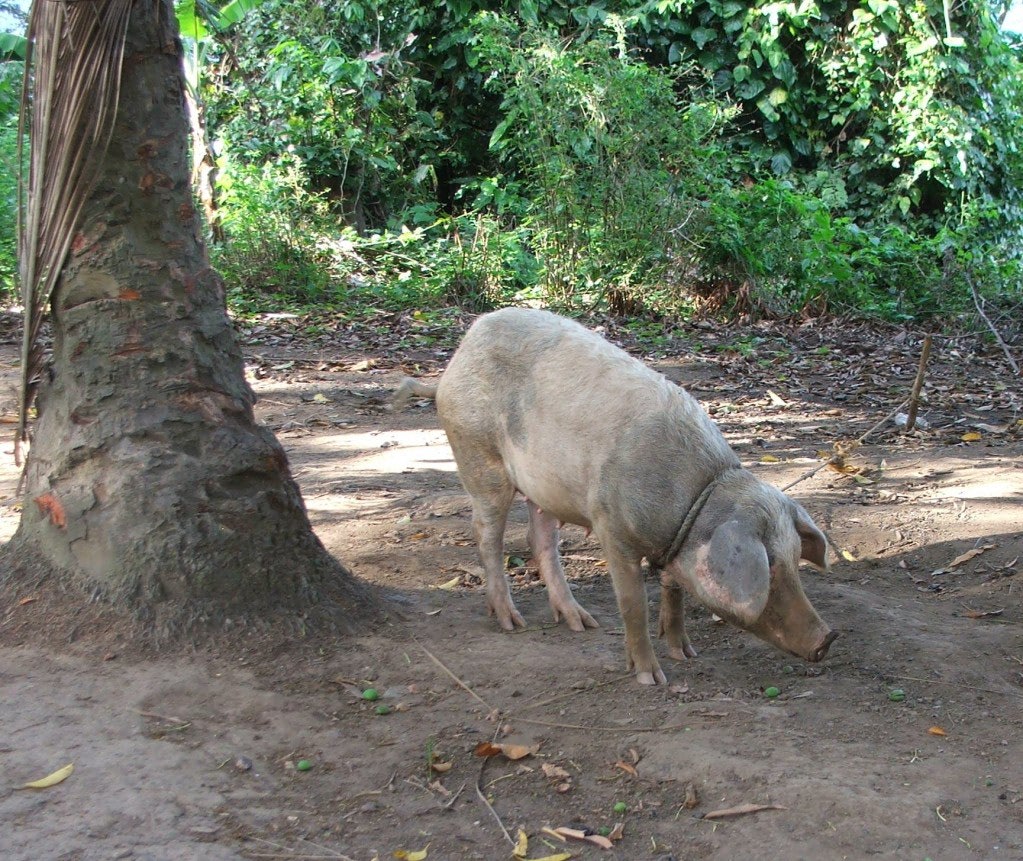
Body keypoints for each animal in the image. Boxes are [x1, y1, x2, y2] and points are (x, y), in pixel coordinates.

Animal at [394, 304, 834, 683]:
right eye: (769, 567)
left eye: (795, 558)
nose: (828, 638)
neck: (695, 501)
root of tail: (456, 359)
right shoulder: (612, 527)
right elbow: (633, 603)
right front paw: (652, 678)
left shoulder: (673, 545)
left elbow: (674, 593)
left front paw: (685, 654)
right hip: (478, 454)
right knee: (487, 534)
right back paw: (512, 621)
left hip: (544, 486)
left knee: (540, 539)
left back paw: (580, 622)